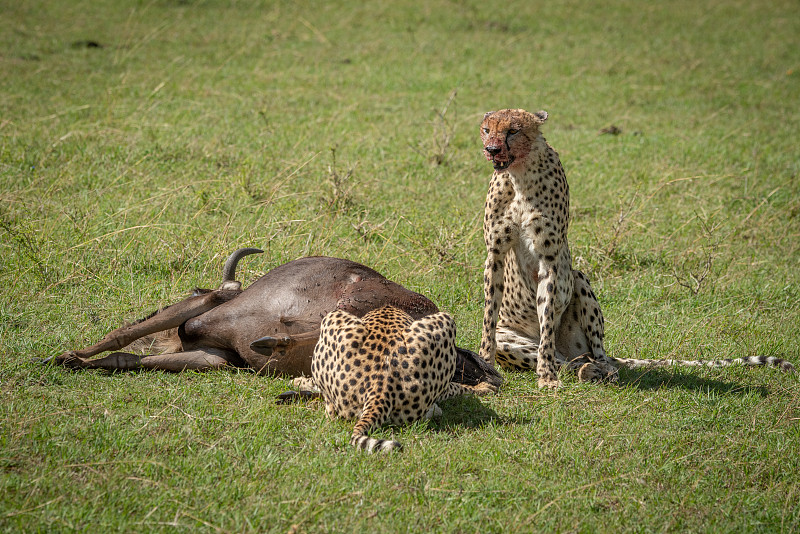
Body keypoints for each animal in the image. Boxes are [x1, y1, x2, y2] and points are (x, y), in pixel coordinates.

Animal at [292, 306, 494, 452]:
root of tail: (380, 386)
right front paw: (484, 387)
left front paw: (298, 381)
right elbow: (457, 387)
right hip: (446, 320)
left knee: (331, 409)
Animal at [478, 109, 796, 388]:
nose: (492, 149)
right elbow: (488, 318)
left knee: (595, 354)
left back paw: (598, 370)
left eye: (513, 130)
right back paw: (584, 370)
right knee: (564, 360)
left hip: (579, 281)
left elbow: (546, 322)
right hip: (514, 342)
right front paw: (484, 365)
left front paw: (546, 378)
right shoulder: (495, 252)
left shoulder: (550, 257)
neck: (519, 173)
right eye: (486, 129)